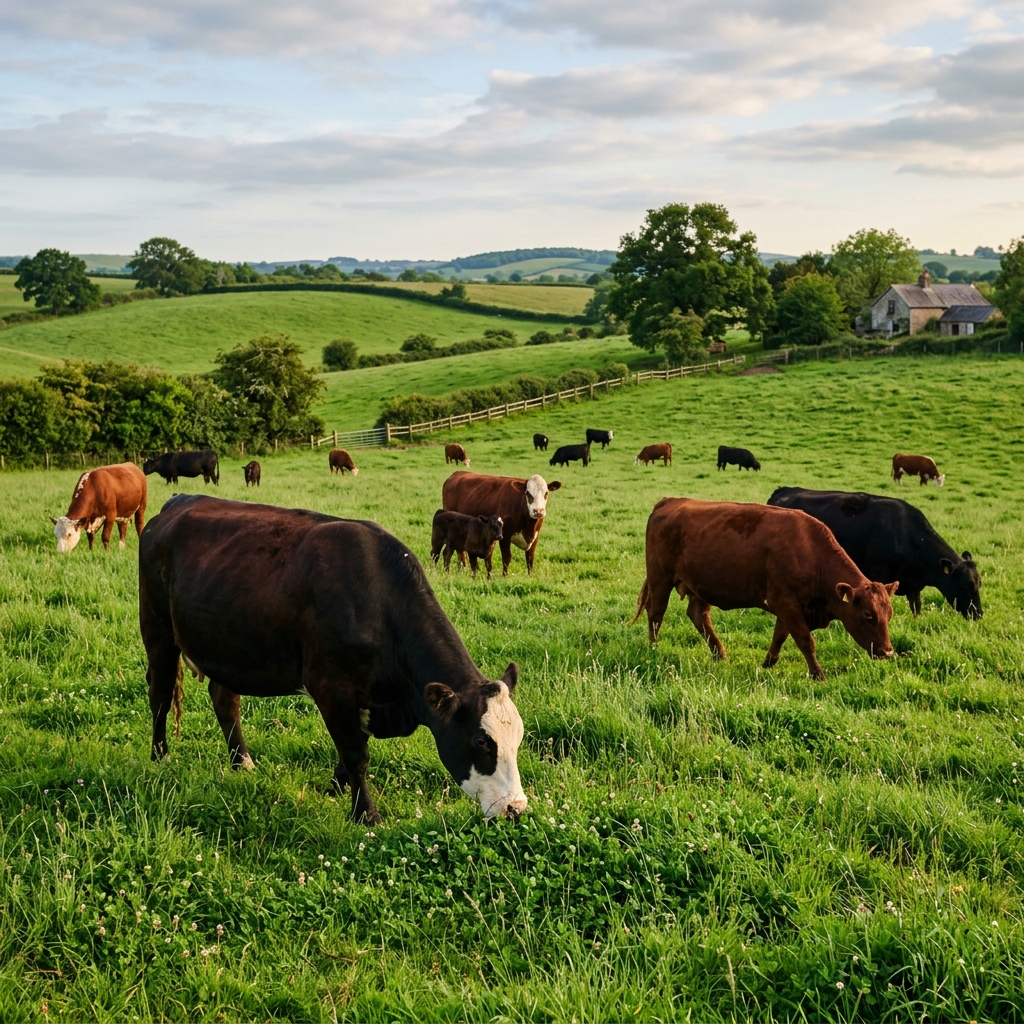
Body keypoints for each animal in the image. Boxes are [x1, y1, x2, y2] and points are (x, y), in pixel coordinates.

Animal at [139, 494, 527, 824]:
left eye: (519, 738)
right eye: (481, 741)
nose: (516, 808)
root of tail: (178, 501)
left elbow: (351, 752)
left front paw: (335, 789)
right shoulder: (331, 688)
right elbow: (356, 755)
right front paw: (366, 814)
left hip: (225, 646)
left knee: (224, 701)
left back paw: (242, 763)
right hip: (158, 632)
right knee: (159, 696)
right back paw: (159, 757)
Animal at [632, 498, 898, 680]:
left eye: (889, 614)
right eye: (868, 615)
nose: (887, 652)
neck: (811, 553)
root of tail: (670, 501)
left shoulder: (788, 608)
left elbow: (779, 636)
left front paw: (768, 663)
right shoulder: (786, 603)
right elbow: (805, 641)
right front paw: (818, 675)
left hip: (700, 586)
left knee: (698, 616)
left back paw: (720, 654)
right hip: (660, 578)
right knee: (656, 614)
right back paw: (654, 649)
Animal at [767, 487, 981, 619]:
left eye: (979, 584)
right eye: (966, 586)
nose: (979, 614)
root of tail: (784, 490)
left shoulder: (913, 585)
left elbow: (917, 608)